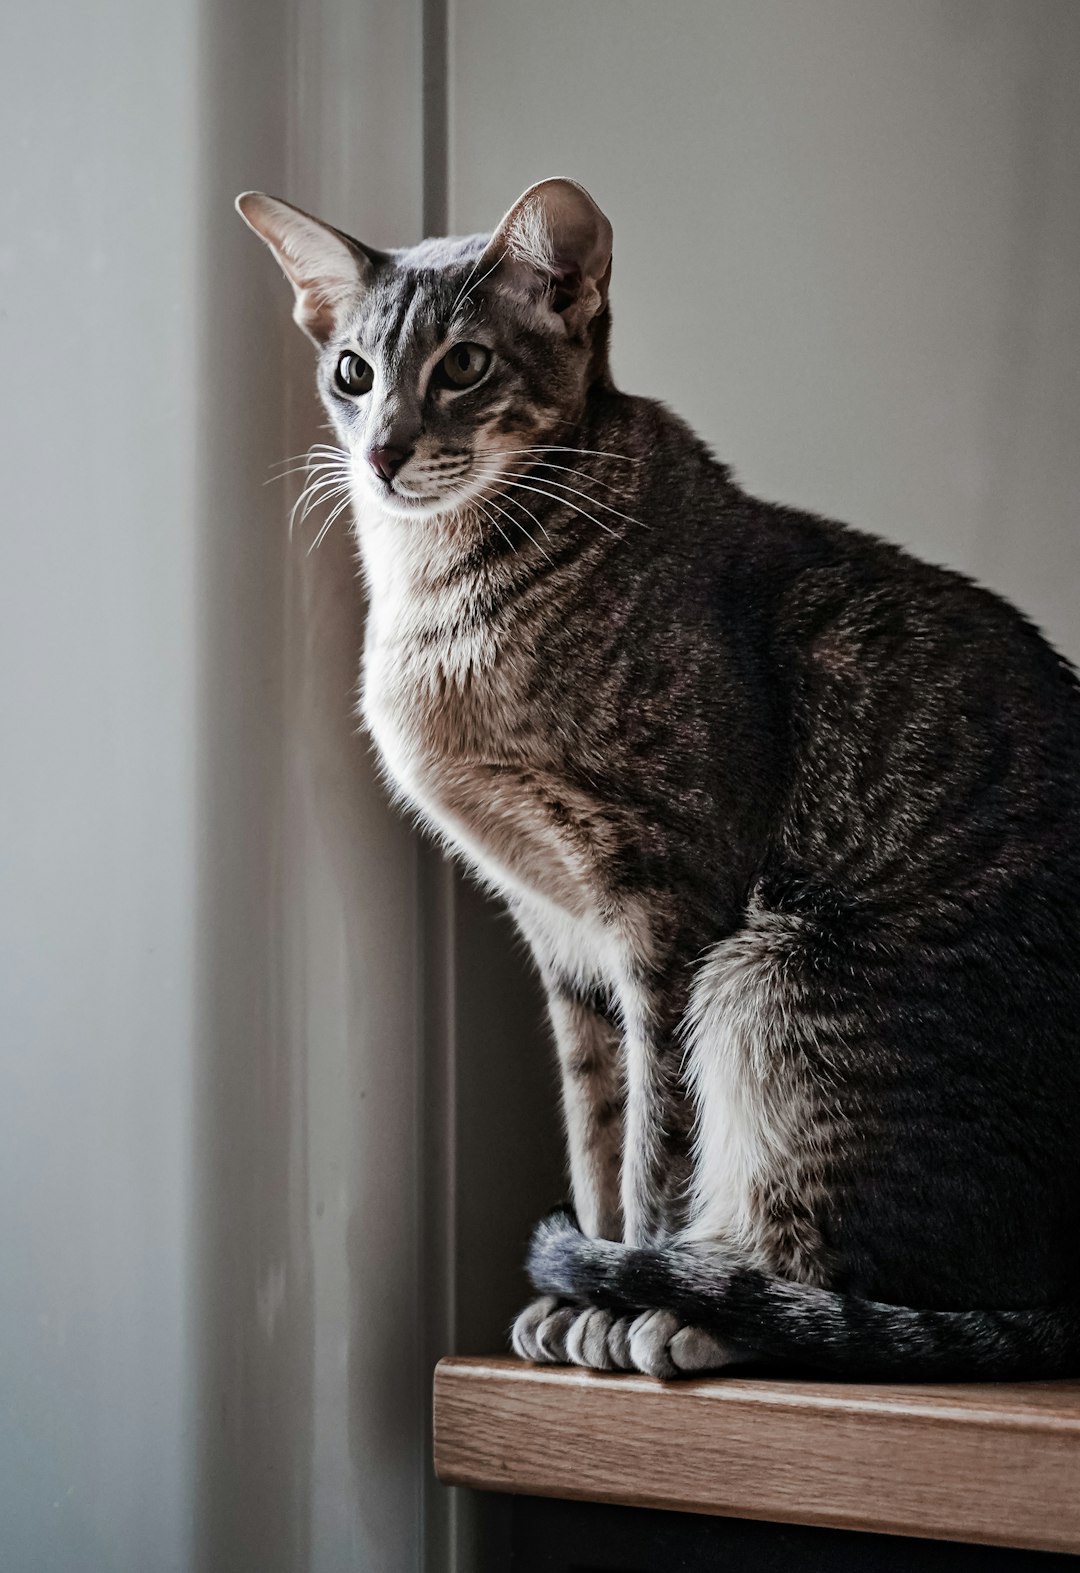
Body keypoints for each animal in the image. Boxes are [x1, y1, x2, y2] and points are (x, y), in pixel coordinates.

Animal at [238, 175, 1080, 1377]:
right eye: (352, 372)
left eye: (464, 365)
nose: (383, 453)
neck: (441, 601)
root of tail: (1076, 1281)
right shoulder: (561, 934)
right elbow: (597, 1130)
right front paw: (578, 1287)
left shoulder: (667, 902)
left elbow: (658, 1145)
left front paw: (631, 1286)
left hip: (772, 986)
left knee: (856, 1285)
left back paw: (710, 1307)